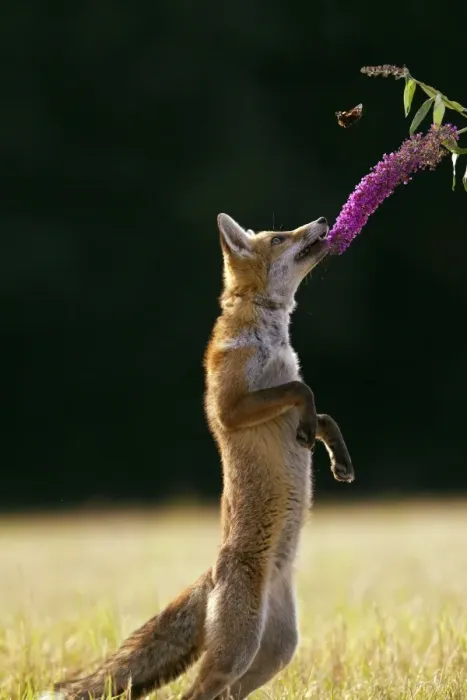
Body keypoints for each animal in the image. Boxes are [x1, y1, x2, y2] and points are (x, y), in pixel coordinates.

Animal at [42, 213, 354, 700]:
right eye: (279, 238)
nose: (322, 220)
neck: (269, 337)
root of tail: (213, 575)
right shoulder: (232, 407)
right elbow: (300, 391)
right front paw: (307, 430)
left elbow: (325, 416)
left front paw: (340, 461)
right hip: (238, 651)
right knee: (194, 693)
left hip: (272, 654)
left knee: (222, 692)